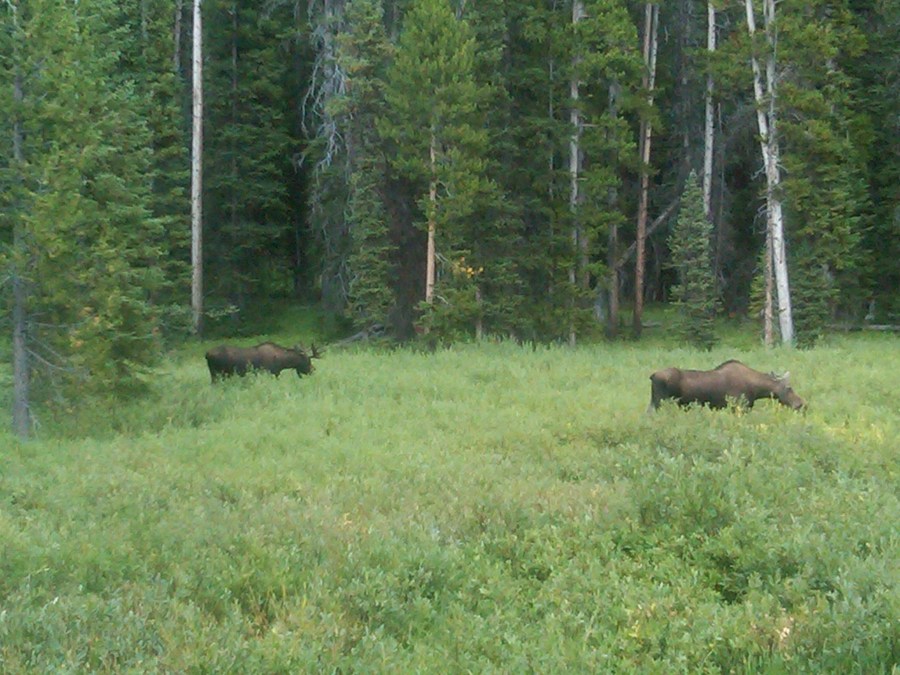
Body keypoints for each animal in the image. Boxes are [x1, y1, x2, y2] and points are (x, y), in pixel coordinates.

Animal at [648, 359, 806, 411]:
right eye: (789, 388)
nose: (802, 404)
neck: (757, 390)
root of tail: (652, 376)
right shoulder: (737, 407)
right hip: (660, 402)